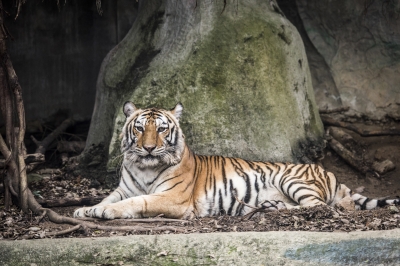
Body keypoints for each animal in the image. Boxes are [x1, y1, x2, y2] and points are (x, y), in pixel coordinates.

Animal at [73, 102, 398, 218]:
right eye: (140, 128)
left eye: (162, 129)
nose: (150, 148)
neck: (144, 167)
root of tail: (331, 173)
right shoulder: (123, 188)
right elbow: (109, 197)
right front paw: (86, 209)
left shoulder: (172, 198)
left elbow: (136, 202)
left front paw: (102, 212)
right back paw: (268, 208)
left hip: (292, 179)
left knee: (323, 206)